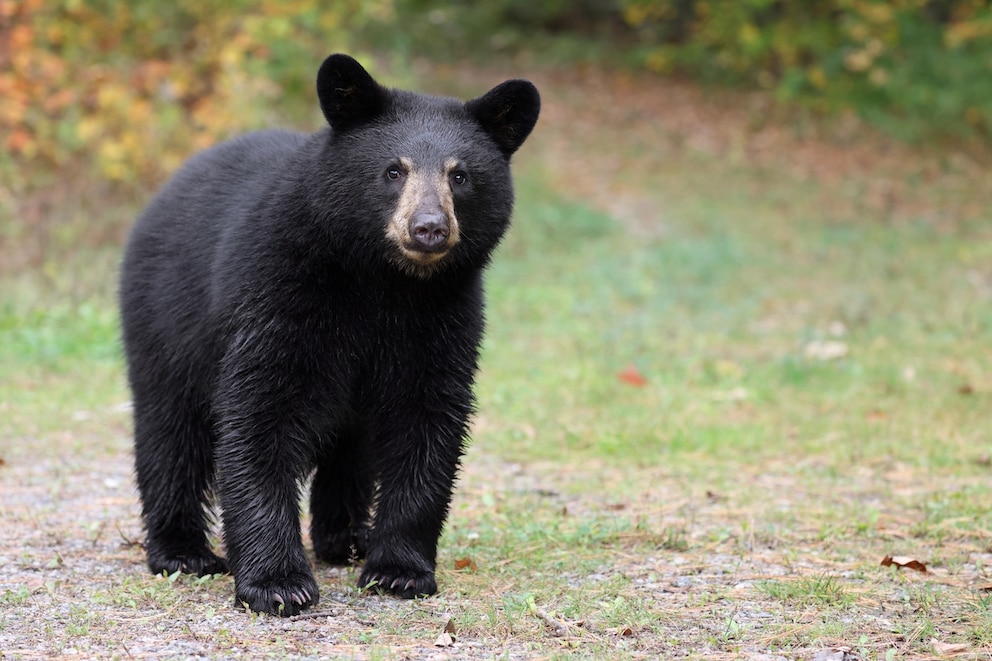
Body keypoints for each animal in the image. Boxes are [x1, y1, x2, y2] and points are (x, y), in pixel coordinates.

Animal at [119, 54, 540, 616]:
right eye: (393, 171)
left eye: (461, 175)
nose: (429, 228)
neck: (382, 283)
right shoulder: (280, 289)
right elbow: (261, 411)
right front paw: (277, 583)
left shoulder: (444, 315)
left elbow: (427, 419)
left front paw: (398, 571)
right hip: (165, 318)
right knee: (169, 429)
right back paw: (183, 552)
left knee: (350, 448)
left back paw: (347, 539)